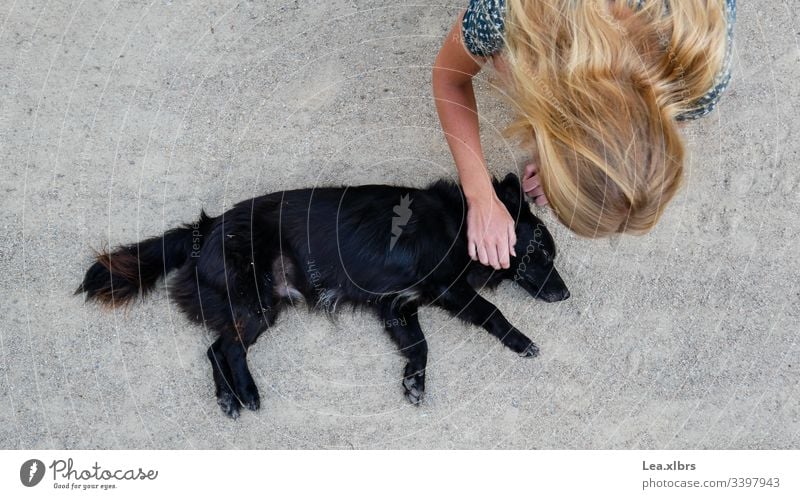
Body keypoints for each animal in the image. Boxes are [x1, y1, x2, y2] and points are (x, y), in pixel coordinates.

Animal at [76, 174, 568, 420]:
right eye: (540, 253)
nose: (566, 294)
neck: (461, 223)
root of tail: (208, 226)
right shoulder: (447, 288)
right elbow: (491, 311)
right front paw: (521, 340)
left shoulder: (396, 306)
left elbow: (419, 346)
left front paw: (414, 380)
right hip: (257, 302)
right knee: (227, 349)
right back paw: (247, 393)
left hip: (260, 307)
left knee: (216, 348)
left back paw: (228, 399)